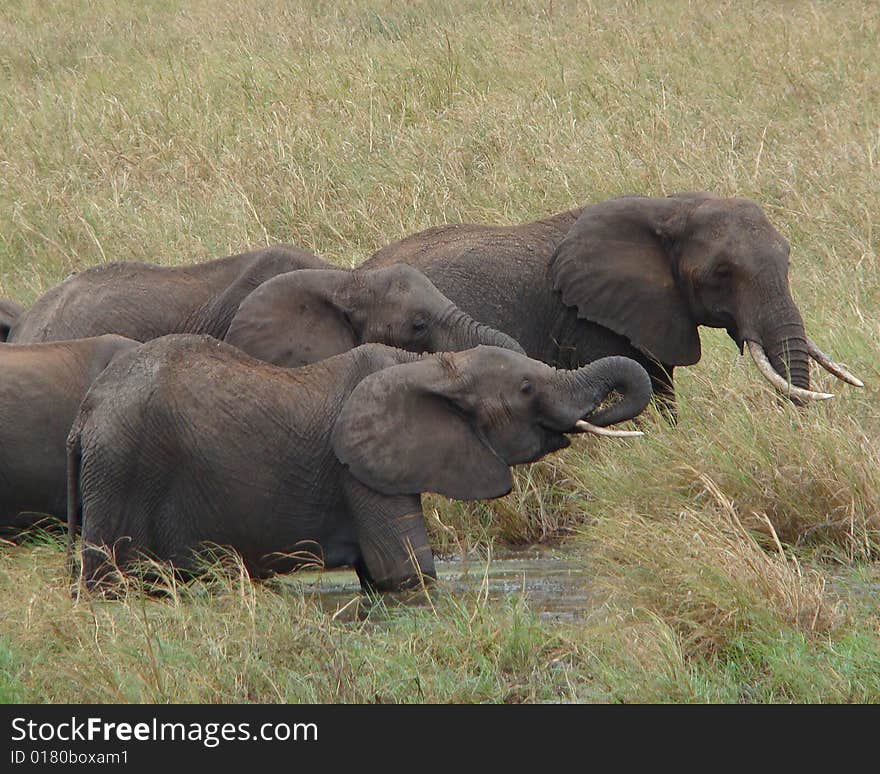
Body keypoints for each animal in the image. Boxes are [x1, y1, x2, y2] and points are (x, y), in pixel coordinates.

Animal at [67, 334, 652, 596]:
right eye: (527, 388)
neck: (430, 367)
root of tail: (86, 412)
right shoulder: (358, 473)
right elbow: (406, 572)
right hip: (121, 470)